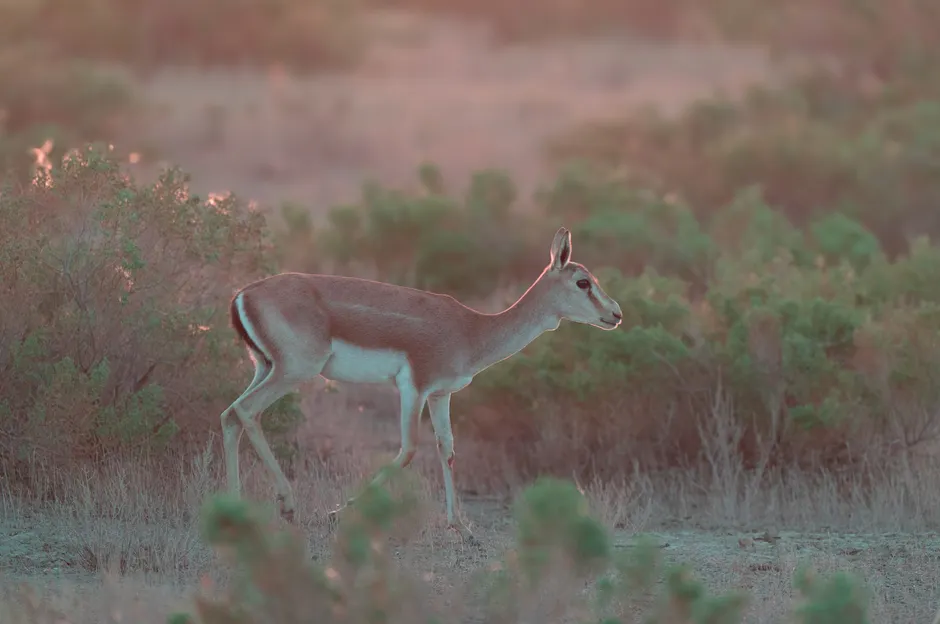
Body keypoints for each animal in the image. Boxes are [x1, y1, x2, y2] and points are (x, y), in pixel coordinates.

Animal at [221, 227, 622, 536]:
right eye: (583, 282)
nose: (615, 314)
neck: (471, 331)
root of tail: (243, 294)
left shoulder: (440, 395)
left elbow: (447, 450)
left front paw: (461, 527)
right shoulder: (413, 388)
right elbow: (409, 450)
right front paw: (337, 512)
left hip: (265, 367)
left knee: (230, 415)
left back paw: (234, 507)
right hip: (294, 371)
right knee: (247, 411)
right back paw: (286, 506)